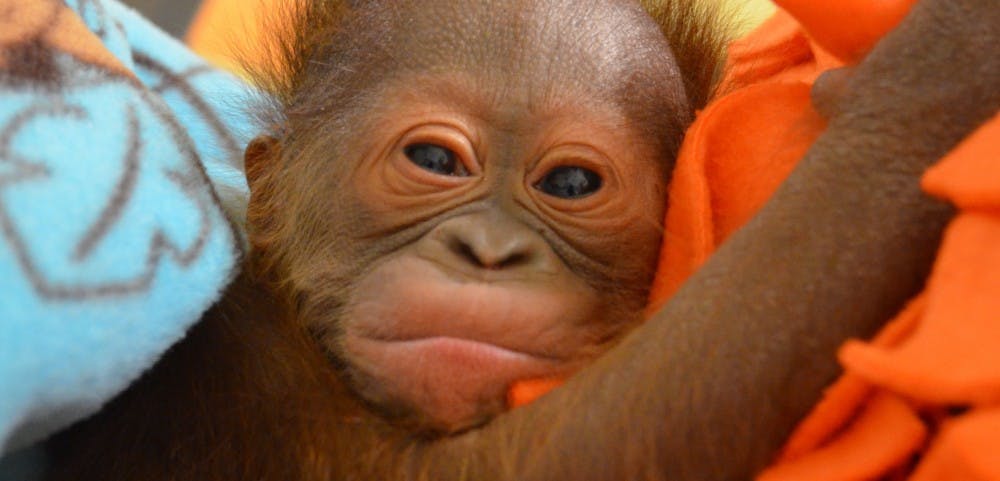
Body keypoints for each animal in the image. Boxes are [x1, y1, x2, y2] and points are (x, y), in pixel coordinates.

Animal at [43, 0, 999, 480]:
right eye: (435, 160)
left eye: (570, 185)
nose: (490, 252)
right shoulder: (238, 358)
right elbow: (541, 456)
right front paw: (932, 88)